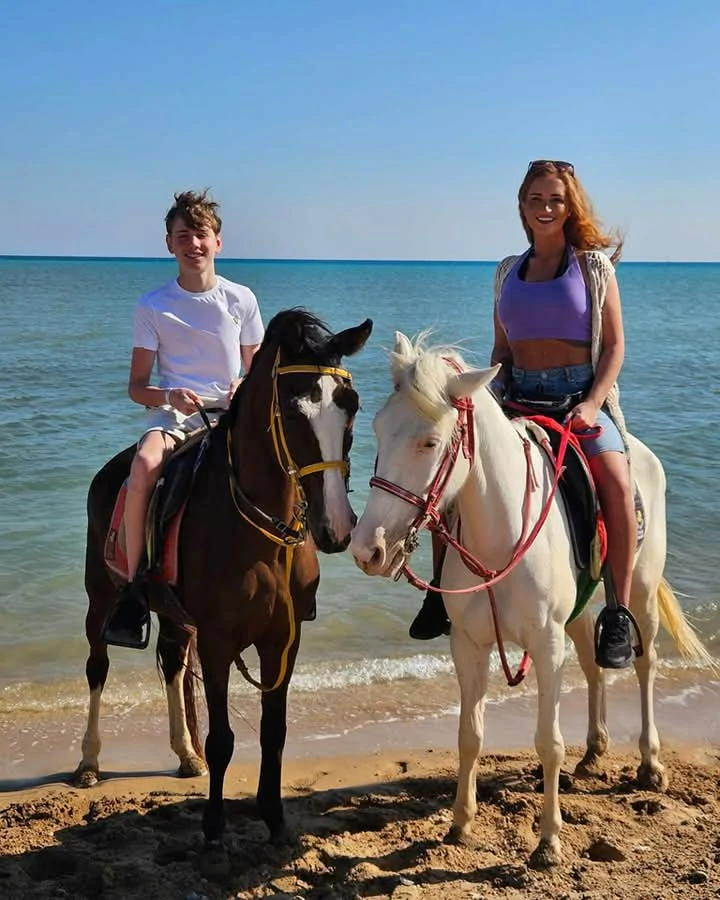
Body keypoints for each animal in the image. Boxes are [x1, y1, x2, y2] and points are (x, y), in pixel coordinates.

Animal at [74, 308, 373, 849]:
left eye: (351, 405)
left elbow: (274, 732)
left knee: (172, 664)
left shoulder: (282, 640)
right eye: (292, 411)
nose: (337, 527)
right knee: (97, 668)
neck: (261, 528)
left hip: (173, 615)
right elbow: (222, 740)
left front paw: (274, 819)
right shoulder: (217, 640)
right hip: (100, 598)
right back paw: (89, 761)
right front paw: (214, 826)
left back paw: (183, 754)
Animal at [348, 331, 713, 867]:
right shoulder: (469, 645)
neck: (498, 538)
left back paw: (650, 764)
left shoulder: (545, 644)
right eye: (376, 428)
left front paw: (548, 840)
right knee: (592, 666)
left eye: (430, 442)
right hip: (577, 615)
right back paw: (595, 751)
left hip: (641, 590)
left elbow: (548, 741)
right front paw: (460, 824)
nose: (366, 549)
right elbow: (469, 734)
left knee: (644, 662)